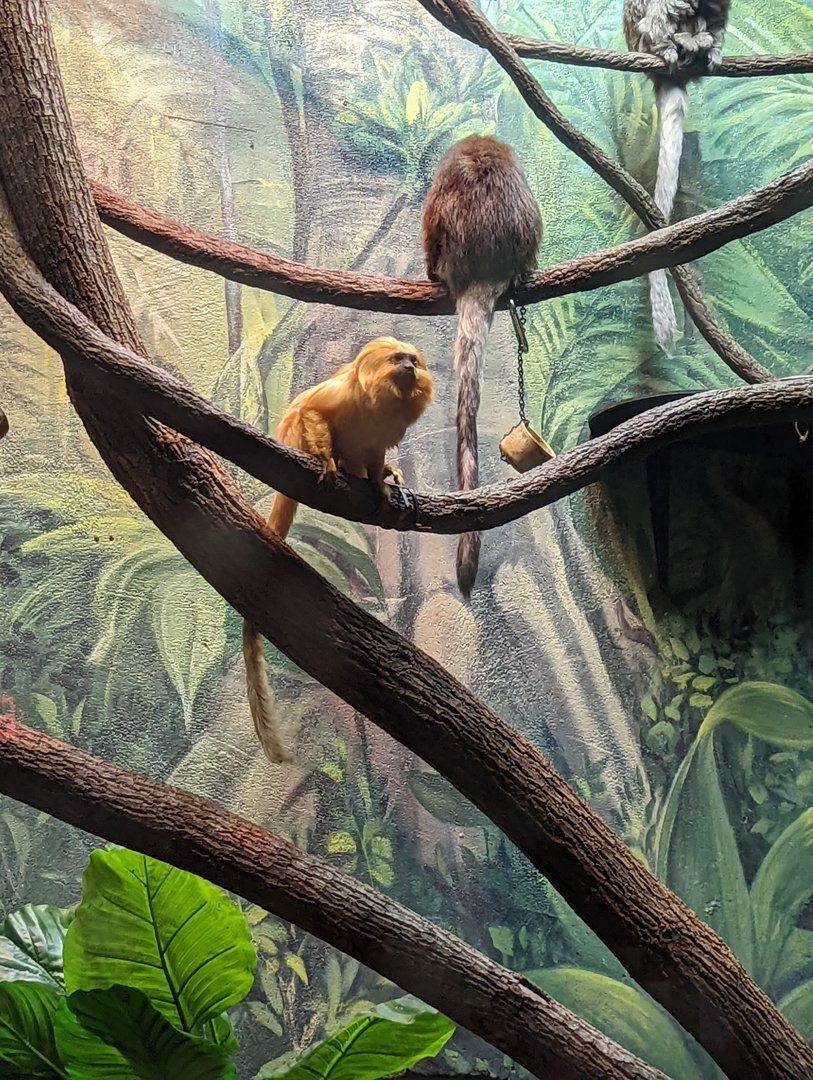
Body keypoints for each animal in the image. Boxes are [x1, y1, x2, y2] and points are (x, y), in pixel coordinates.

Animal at [242, 336, 433, 765]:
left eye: (413, 361)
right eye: (398, 360)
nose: (409, 368)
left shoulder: (380, 437)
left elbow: (376, 455)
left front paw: (381, 482)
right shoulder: (340, 398)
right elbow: (313, 410)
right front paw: (328, 462)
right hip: (295, 438)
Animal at [623, 0, 731, 350]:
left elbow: (717, 23)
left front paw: (713, 48)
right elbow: (655, 21)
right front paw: (671, 47)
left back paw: (698, 46)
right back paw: (681, 46)